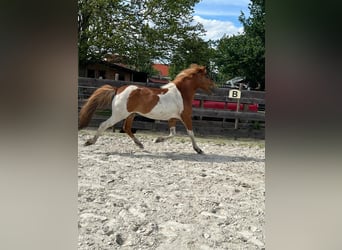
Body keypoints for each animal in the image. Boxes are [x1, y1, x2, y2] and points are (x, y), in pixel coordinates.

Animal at [79, 64, 215, 154]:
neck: (181, 93)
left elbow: (173, 134)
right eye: (207, 76)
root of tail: (117, 89)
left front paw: (157, 140)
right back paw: (89, 142)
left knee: (127, 128)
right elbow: (191, 133)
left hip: (131, 114)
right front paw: (198, 149)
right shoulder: (185, 117)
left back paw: (140, 145)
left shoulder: (172, 118)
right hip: (119, 114)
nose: (213, 88)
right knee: (104, 125)